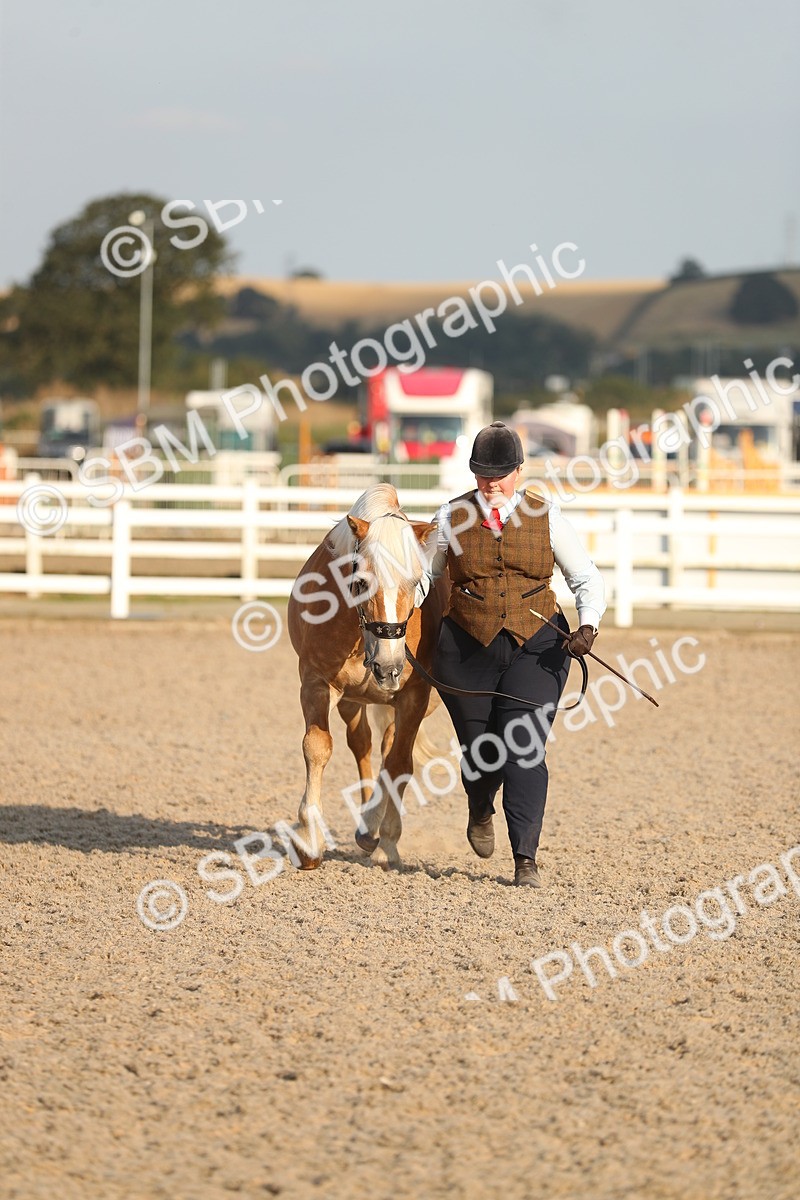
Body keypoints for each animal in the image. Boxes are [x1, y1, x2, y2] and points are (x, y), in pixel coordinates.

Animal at [287, 483, 448, 870]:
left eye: (415, 581)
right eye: (360, 581)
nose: (389, 668)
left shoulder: (415, 696)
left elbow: (400, 763)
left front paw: (388, 842)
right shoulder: (315, 682)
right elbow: (317, 748)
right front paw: (308, 840)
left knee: (391, 751)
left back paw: (375, 828)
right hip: (352, 700)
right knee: (363, 743)